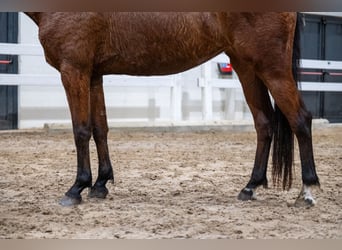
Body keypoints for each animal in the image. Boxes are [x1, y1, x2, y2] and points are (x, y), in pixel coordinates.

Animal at [24, 12, 320, 207]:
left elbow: (81, 131)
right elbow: (100, 129)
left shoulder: (74, 70)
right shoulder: (94, 74)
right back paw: (250, 187)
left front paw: (77, 188)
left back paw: (306, 192)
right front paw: (100, 184)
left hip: (271, 68)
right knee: (264, 123)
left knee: (300, 120)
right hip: (246, 66)